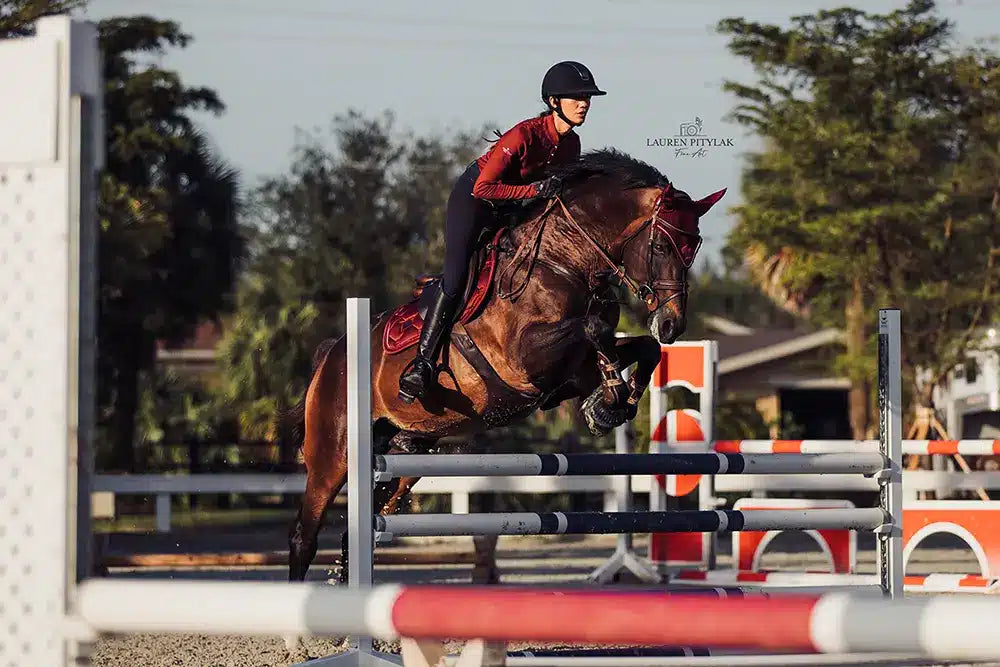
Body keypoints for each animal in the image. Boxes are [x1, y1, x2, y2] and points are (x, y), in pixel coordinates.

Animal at [282, 149, 728, 580]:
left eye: (693, 250)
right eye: (661, 247)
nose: (671, 324)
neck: (563, 262)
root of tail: (332, 355)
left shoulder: (571, 372)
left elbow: (639, 349)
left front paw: (609, 406)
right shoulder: (526, 360)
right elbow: (594, 329)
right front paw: (610, 400)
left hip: (403, 458)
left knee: (361, 526)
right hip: (334, 455)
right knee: (304, 535)